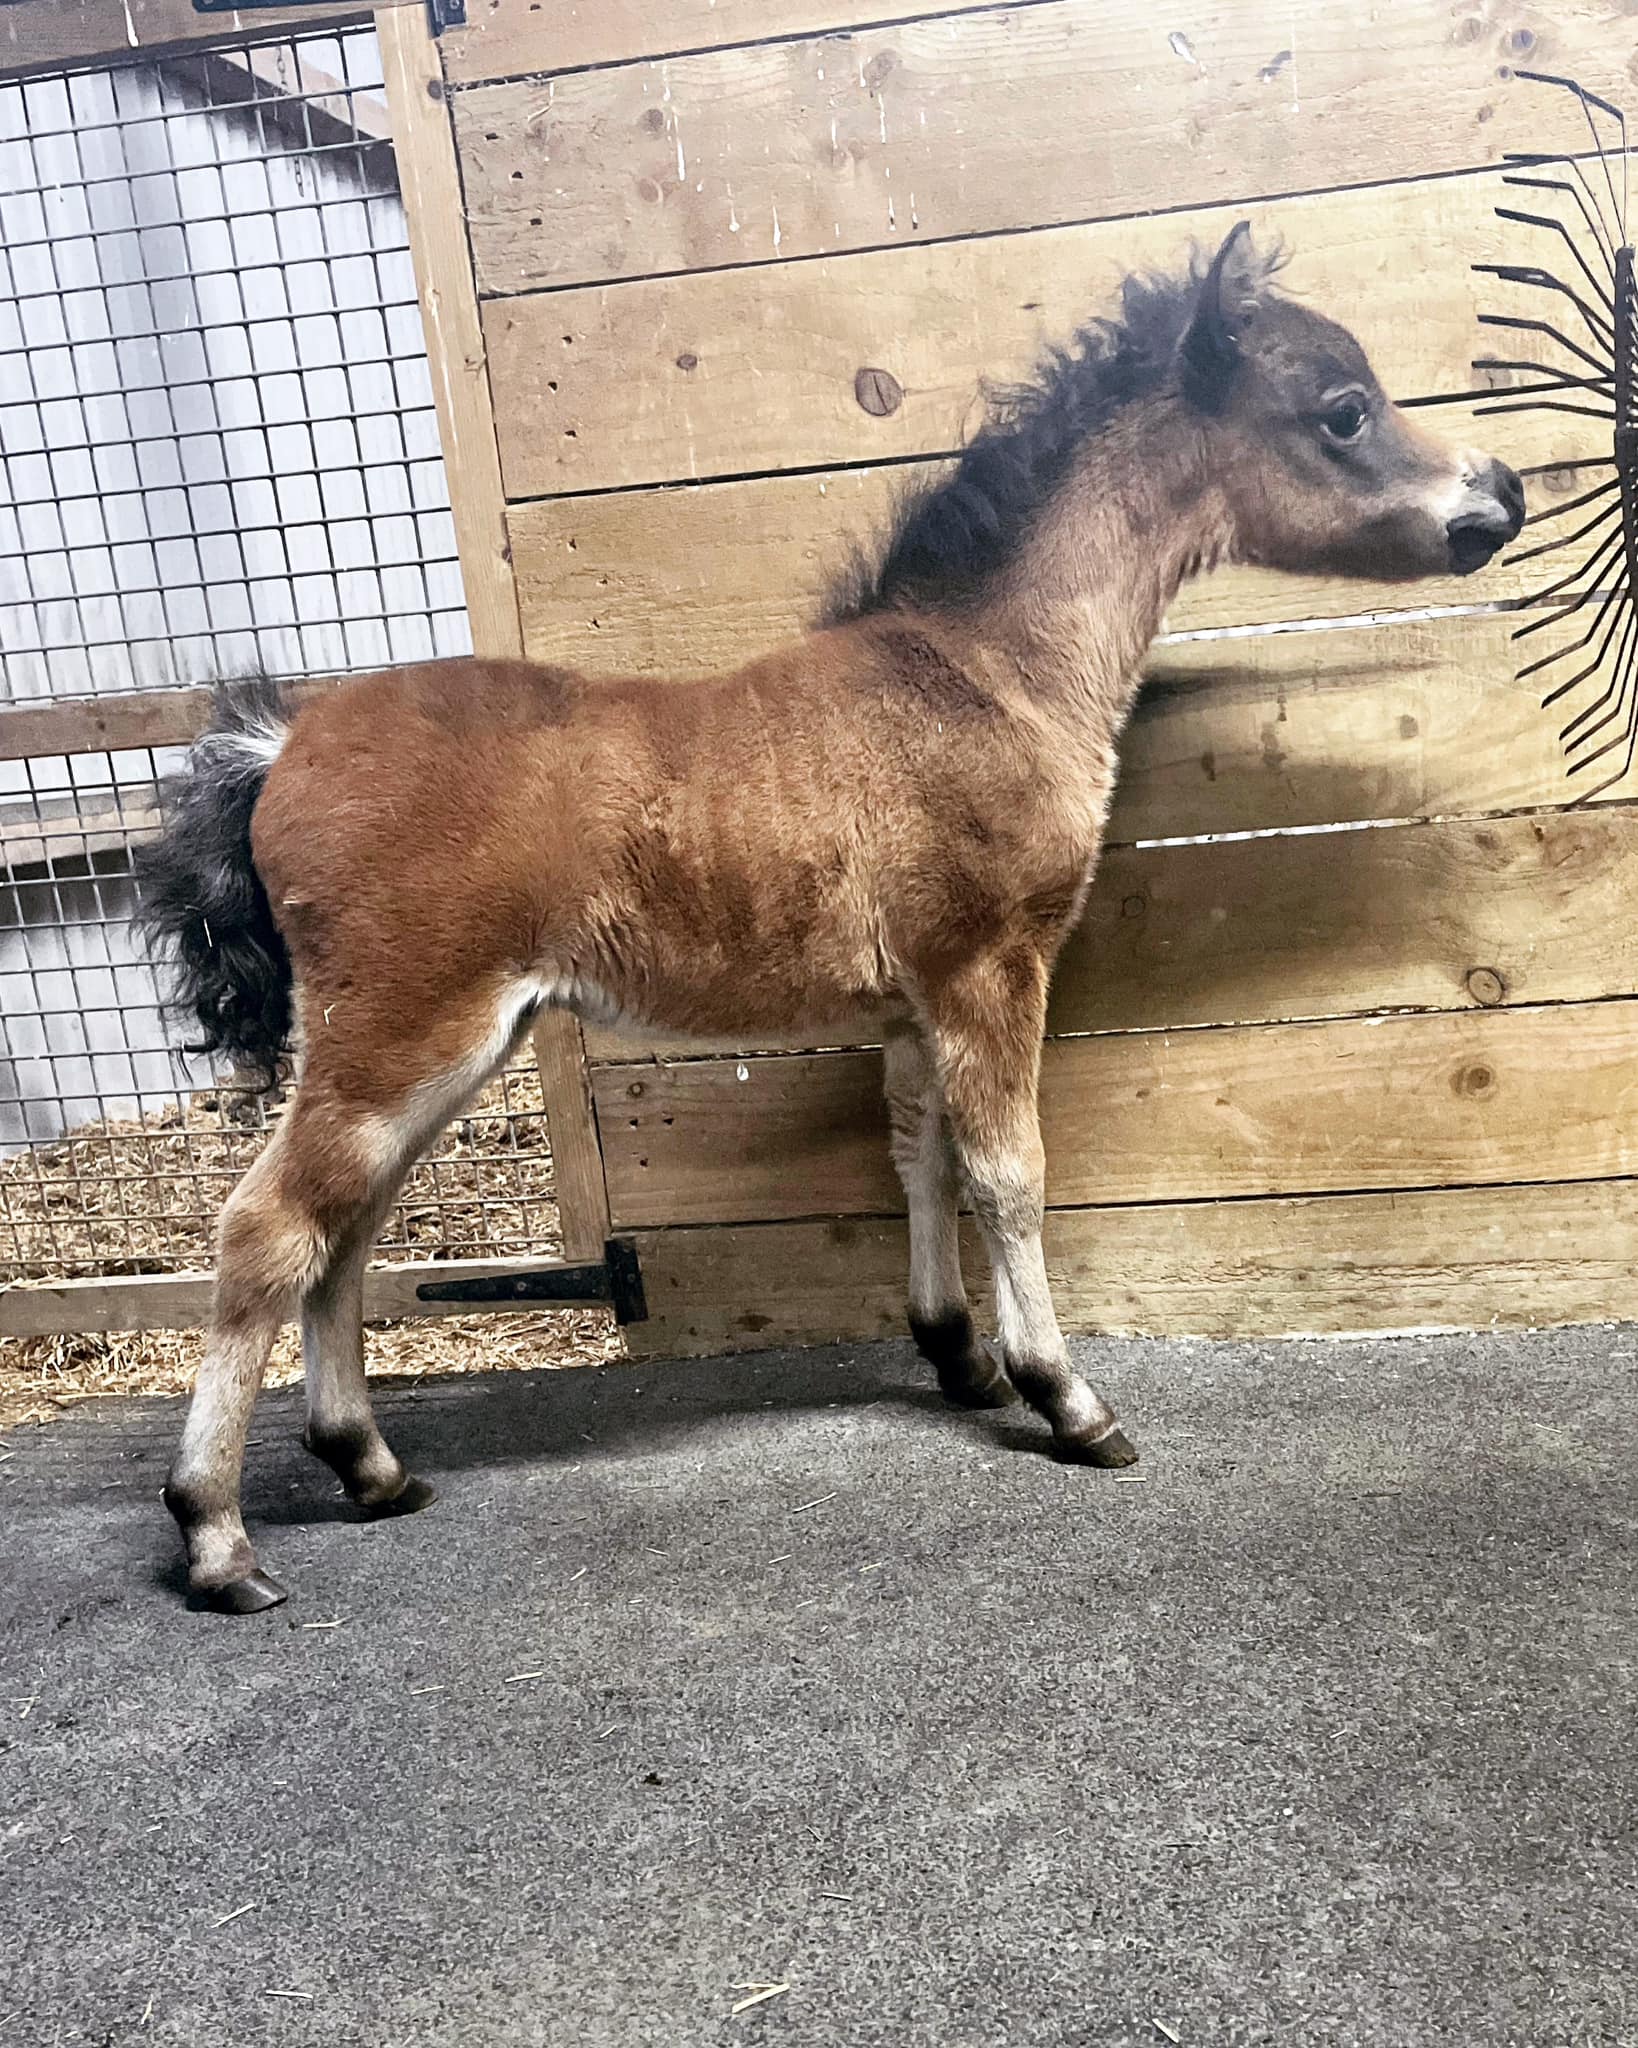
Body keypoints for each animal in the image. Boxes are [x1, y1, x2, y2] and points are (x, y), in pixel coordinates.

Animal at [136, 224, 1525, 1612]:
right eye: (1343, 410)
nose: (1502, 490)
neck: (987, 673)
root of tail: (282, 742)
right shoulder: (990, 964)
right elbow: (1012, 1172)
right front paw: (1067, 1398)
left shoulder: (917, 997)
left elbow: (922, 1154)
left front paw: (958, 1355)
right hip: (408, 1031)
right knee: (268, 1228)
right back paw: (216, 1533)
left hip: (442, 1047)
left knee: (346, 1234)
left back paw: (371, 1467)